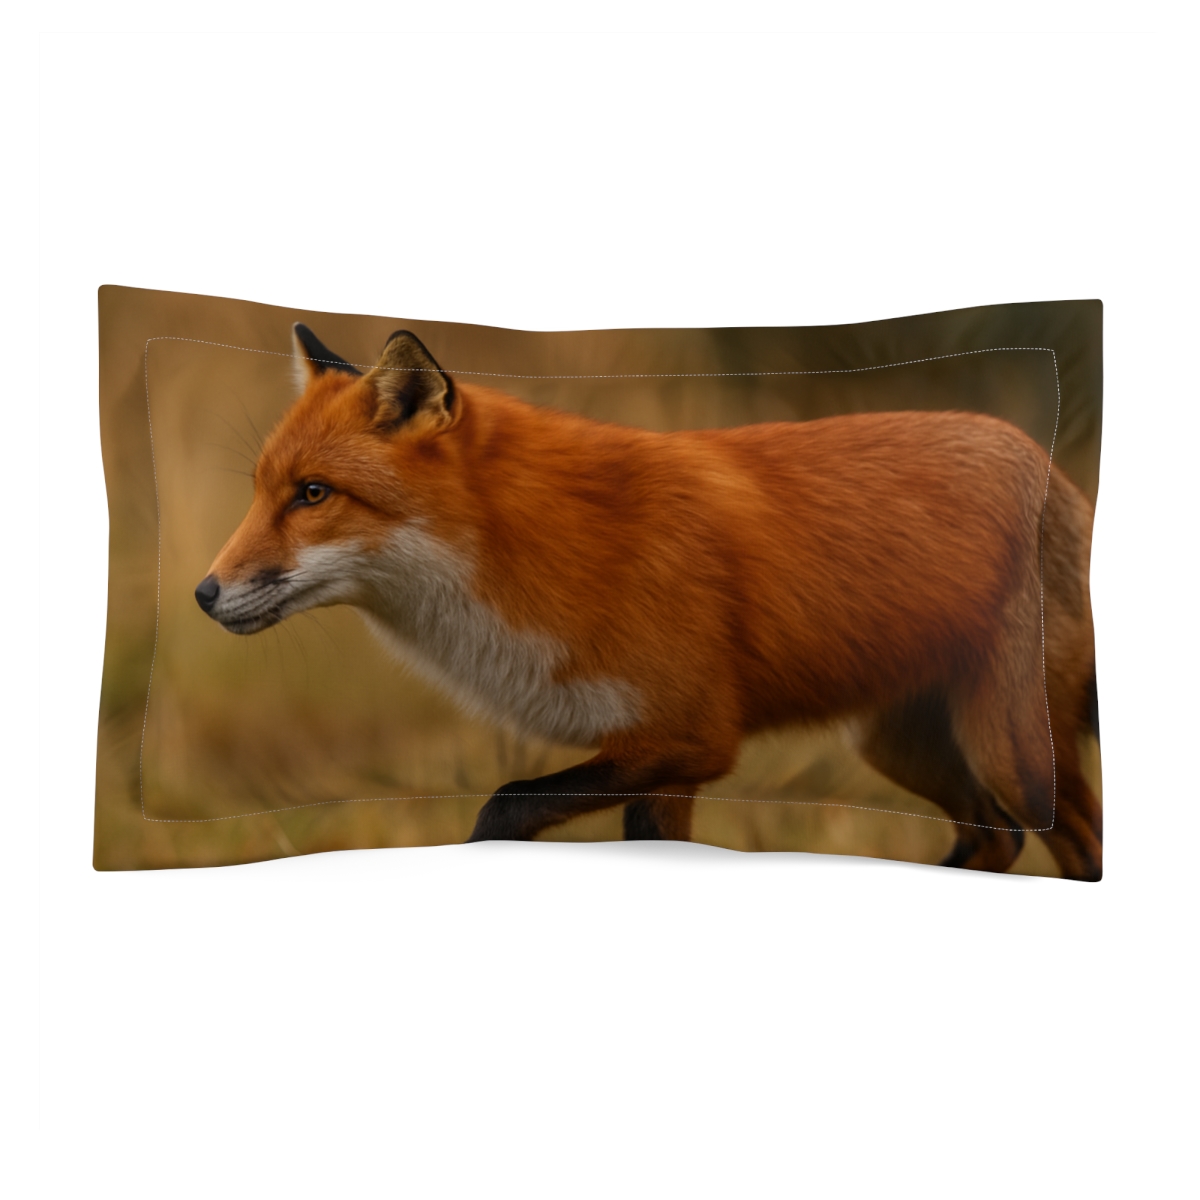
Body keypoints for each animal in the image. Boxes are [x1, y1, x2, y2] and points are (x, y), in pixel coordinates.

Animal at [195, 324, 1101, 879]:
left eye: (313, 494)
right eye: (263, 491)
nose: (204, 594)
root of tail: (1045, 462)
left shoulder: (688, 740)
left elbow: (500, 804)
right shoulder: (658, 760)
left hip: (1015, 752)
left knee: (1080, 847)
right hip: (900, 747)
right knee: (995, 840)